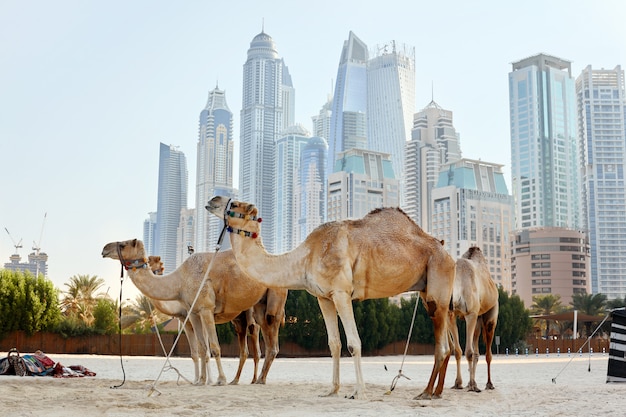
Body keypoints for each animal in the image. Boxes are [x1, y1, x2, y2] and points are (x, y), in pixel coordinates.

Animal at [101, 239, 286, 386]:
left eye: (123, 244)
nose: (104, 249)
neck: (179, 282)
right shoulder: (193, 314)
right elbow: (201, 349)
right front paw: (201, 380)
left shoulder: (205, 309)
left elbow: (214, 347)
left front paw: (218, 380)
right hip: (253, 309)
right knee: (258, 340)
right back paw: (248, 379)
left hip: (273, 300)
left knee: (267, 341)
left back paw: (256, 379)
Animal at [205, 197, 454, 398]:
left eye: (236, 204)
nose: (213, 199)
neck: (305, 257)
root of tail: (447, 252)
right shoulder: (323, 297)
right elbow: (334, 343)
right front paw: (332, 390)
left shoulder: (341, 292)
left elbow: (354, 342)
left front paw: (358, 392)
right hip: (427, 291)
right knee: (446, 343)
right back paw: (436, 392)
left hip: (439, 282)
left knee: (442, 346)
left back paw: (426, 392)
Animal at [448, 245, 498, 392]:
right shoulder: (451, 315)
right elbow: (457, 351)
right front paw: (458, 383)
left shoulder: (471, 314)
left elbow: (468, 352)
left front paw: (471, 385)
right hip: (478, 319)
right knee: (476, 348)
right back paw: (473, 383)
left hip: (490, 315)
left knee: (488, 353)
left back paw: (488, 384)